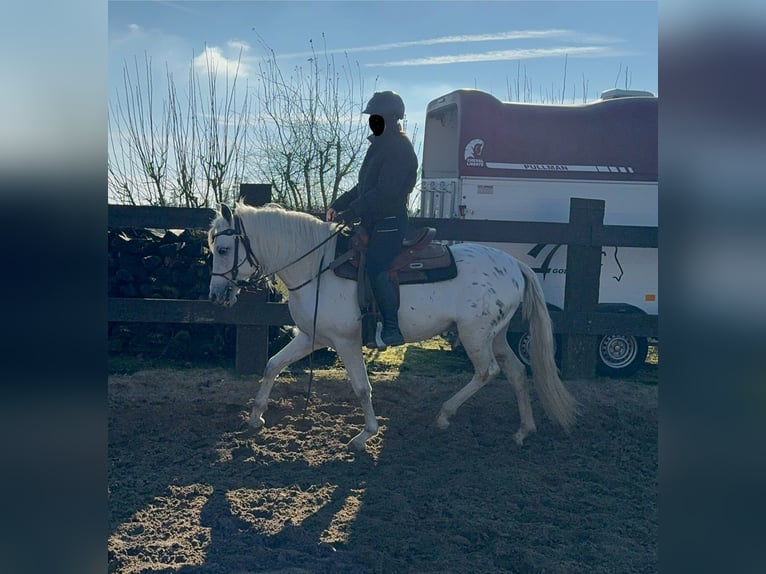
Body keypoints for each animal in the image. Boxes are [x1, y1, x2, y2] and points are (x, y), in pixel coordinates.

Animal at [207, 205, 580, 452]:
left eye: (223, 249)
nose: (215, 295)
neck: (317, 267)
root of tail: (515, 264)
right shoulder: (312, 337)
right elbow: (272, 365)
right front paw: (256, 418)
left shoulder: (345, 341)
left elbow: (362, 388)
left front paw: (365, 434)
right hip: (497, 335)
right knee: (516, 371)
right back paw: (523, 430)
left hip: (474, 335)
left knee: (487, 371)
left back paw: (445, 414)